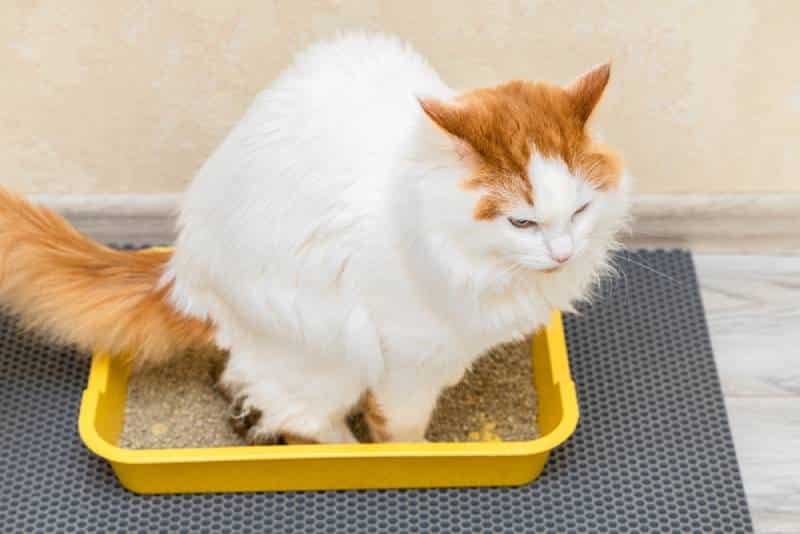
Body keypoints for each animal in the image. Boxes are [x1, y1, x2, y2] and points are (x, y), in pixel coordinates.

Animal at [0, 31, 632, 446]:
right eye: (522, 222)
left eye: (580, 210)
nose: (563, 253)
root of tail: (180, 274)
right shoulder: (405, 361)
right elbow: (400, 429)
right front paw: (409, 459)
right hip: (323, 349)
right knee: (294, 413)